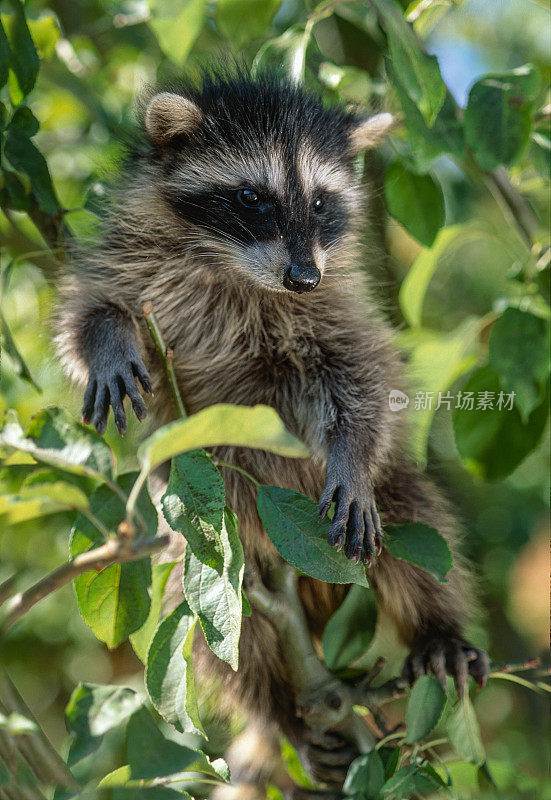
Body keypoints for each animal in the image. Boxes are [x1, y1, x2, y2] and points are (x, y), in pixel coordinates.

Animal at [56, 72, 490, 796]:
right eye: (251, 197)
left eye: (319, 201)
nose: (302, 277)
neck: (234, 267)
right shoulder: (130, 254)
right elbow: (84, 307)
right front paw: (108, 340)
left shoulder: (336, 302)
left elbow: (364, 372)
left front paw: (350, 455)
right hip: (215, 557)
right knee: (226, 635)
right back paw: (279, 712)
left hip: (383, 512)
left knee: (415, 526)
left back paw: (437, 629)